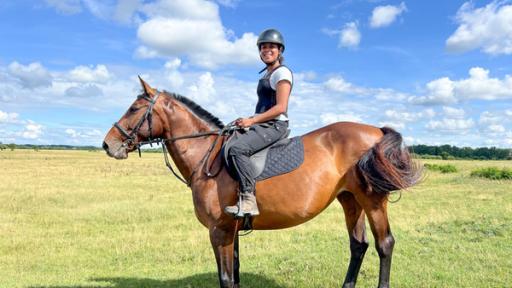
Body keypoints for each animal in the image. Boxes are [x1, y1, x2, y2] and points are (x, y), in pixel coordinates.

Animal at [101, 78, 420, 288]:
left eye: (133, 108)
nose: (107, 144)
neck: (207, 155)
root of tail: (376, 131)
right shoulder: (230, 231)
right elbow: (235, 275)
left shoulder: (219, 231)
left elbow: (226, 278)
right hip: (350, 199)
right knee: (358, 245)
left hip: (372, 200)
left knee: (384, 244)